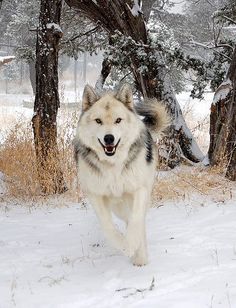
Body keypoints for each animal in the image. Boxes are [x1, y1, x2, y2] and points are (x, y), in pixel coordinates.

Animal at [74, 83, 169, 266]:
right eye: (98, 121)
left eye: (118, 120)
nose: (109, 138)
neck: (113, 165)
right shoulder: (95, 194)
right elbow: (107, 226)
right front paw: (124, 245)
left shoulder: (139, 190)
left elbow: (136, 220)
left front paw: (132, 245)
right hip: (118, 206)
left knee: (138, 222)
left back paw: (141, 257)